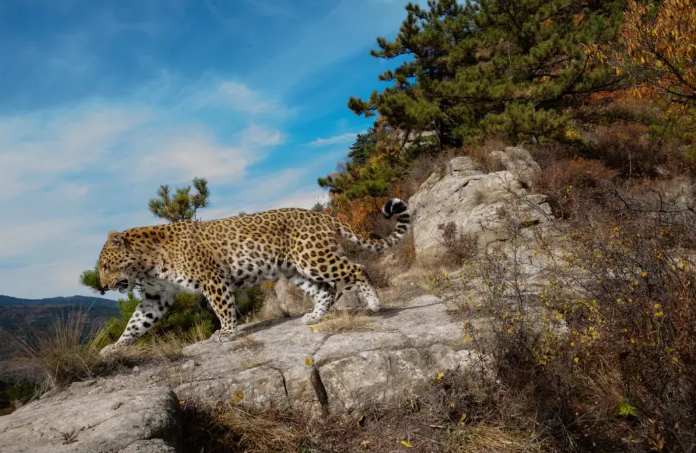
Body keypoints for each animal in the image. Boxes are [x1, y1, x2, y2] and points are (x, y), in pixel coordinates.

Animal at [96, 198, 410, 356]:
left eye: (105, 266)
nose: (102, 286)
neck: (147, 264)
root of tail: (322, 215)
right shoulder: (156, 296)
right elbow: (136, 322)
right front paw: (115, 347)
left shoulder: (212, 278)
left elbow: (223, 308)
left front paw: (226, 333)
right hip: (294, 269)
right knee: (325, 291)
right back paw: (314, 316)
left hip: (313, 257)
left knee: (355, 269)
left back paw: (374, 303)